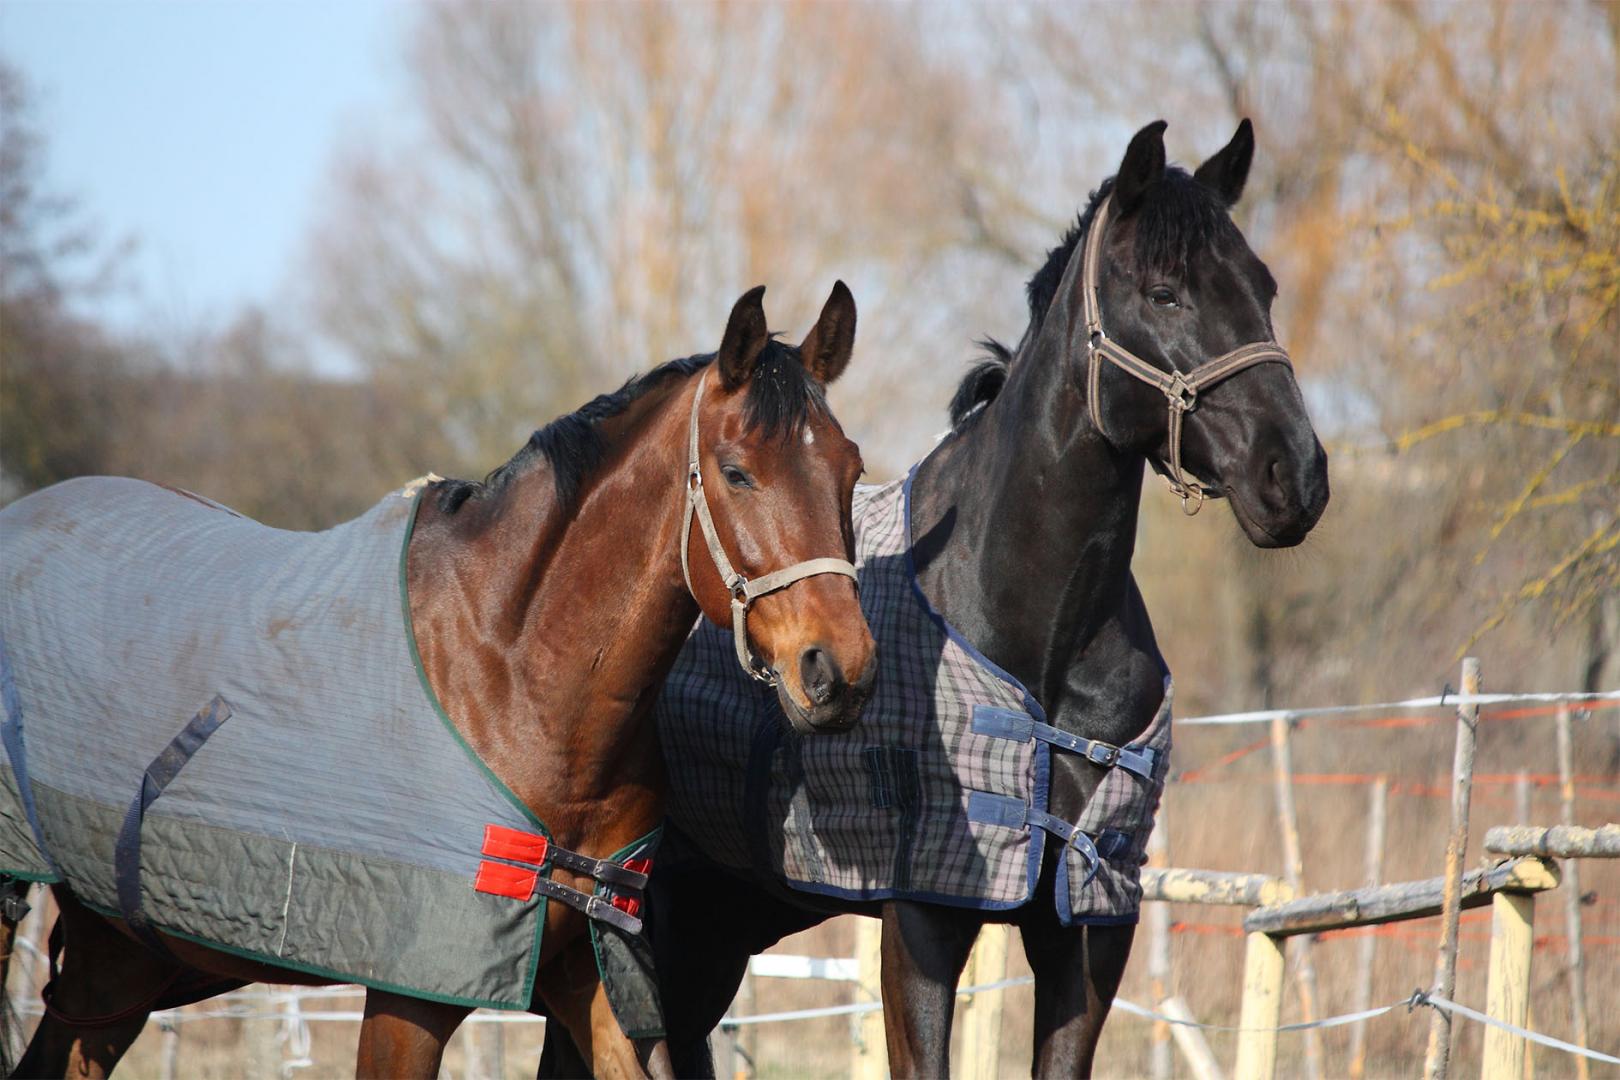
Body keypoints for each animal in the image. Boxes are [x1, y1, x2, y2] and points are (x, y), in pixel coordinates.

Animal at [0, 283, 881, 1075]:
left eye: (851, 468)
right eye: (736, 472)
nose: (838, 671)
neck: (511, 679)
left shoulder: (600, 976)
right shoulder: (407, 1000)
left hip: (117, 955)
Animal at [544, 118, 1328, 1080]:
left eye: (1263, 286)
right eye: (1165, 292)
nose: (1294, 474)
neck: (1037, 634)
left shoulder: (1089, 927)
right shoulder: (922, 923)